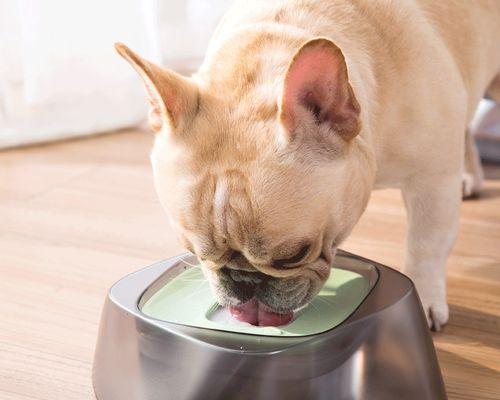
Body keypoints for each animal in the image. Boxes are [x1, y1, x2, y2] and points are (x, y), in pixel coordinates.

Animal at [116, 0, 500, 330]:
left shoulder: (432, 180)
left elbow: (426, 243)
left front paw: (424, 296)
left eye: (294, 255)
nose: (244, 280)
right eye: (193, 251)